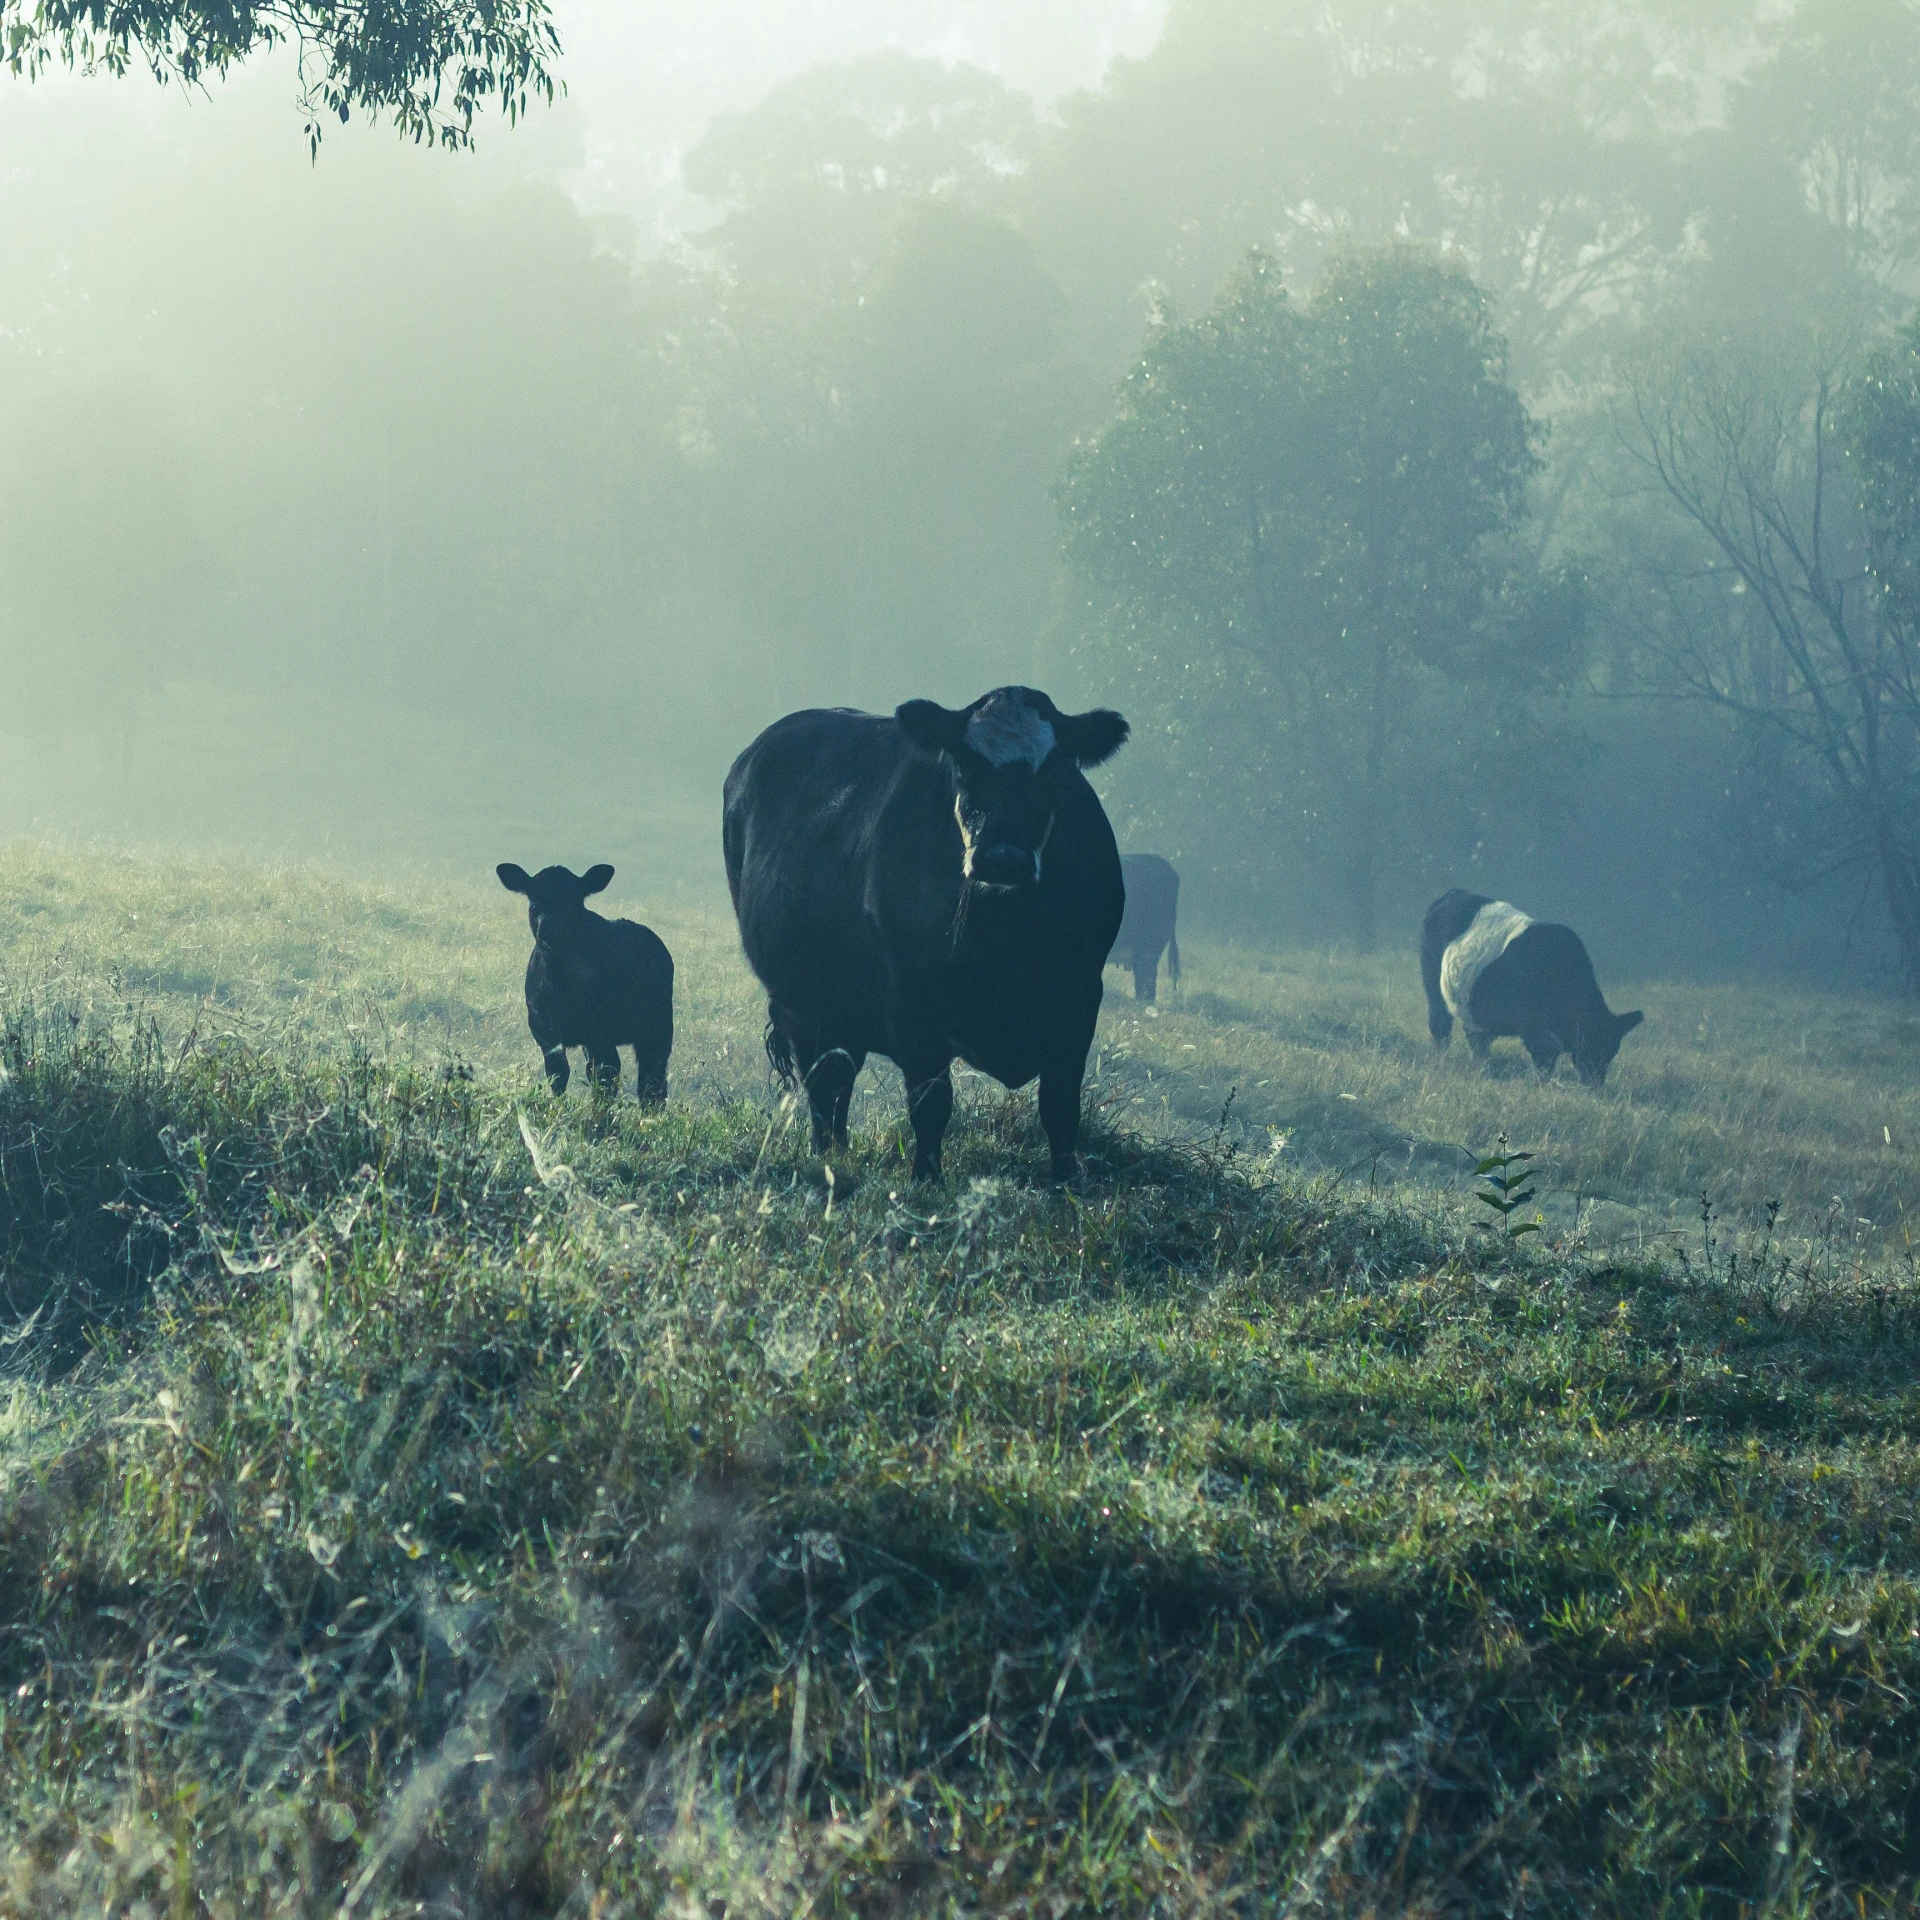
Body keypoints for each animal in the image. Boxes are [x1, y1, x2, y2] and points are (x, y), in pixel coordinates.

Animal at [495, 864, 675, 1105]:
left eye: (574, 901)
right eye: (535, 900)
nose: (550, 926)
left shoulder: (599, 1031)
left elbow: (604, 1077)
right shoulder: (543, 1028)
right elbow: (558, 1073)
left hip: (658, 1029)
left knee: (650, 1081)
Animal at [725, 683, 1128, 1175]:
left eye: (1053, 771)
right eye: (964, 765)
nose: (1003, 858)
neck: (1006, 941)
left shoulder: (1083, 996)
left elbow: (1060, 1107)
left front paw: (1065, 1181)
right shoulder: (910, 998)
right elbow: (931, 1103)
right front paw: (926, 1177)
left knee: (840, 1074)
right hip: (801, 1003)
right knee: (825, 1084)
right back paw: (828, 1154)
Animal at [1420, 890, 1643, 1090]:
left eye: (1613, 1050)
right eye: (1588, 1044)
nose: (1595, 1084)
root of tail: (1451, 894)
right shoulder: (1536, 1031)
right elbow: (1544, 1062)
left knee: (1475, 1038)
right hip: (1434, 990)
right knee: (1440, 1026)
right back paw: (1443, 1059)